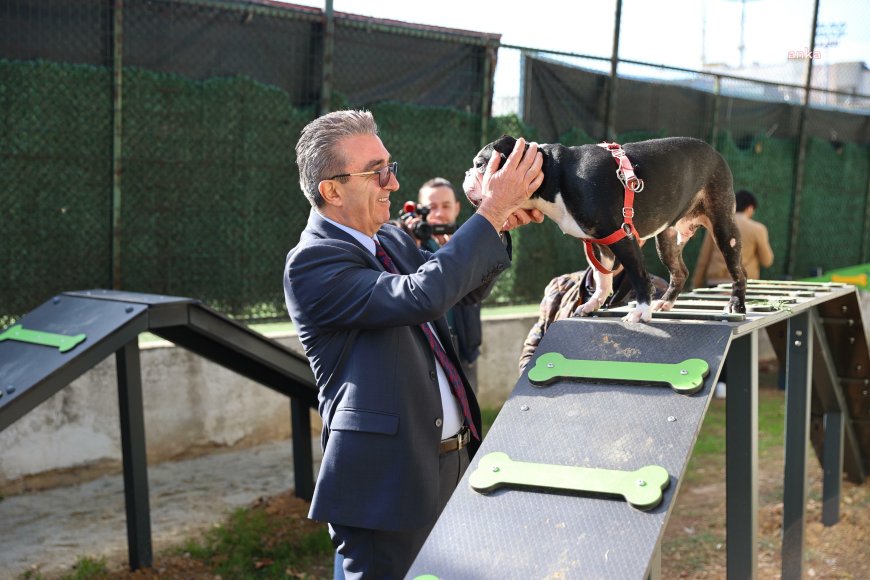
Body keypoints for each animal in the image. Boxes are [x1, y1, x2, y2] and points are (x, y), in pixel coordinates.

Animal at [464, 136, 748, 322]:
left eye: (480, 164)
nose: (466, 174)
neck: (554, 173)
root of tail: (716, 153)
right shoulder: (601, 243)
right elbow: (602, 278)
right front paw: (593, 304)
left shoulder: (622, 236)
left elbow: (638, 276)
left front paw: (641, 311)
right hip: (666, 240)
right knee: (680, 271)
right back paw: (665, 302)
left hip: (724, 228)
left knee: (738, 270)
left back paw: (736, 304)